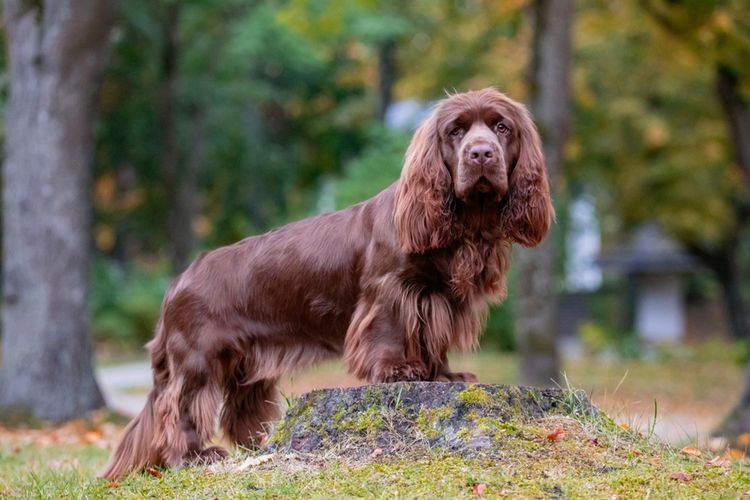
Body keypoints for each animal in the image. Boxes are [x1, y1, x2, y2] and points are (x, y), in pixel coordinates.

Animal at [103, 88, 556, 478]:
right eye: (455, 131)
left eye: (502, 127)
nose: (481, 154)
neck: (466, 226)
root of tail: (178, 281)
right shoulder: (390, 290)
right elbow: (392, 331)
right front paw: (398, 370)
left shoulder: (437, 298)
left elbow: (432, 339)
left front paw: (442, 374)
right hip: (198, 358)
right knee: (179, 407)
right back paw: (194, 456)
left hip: (246, 362)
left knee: (238, 408)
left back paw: (256, 447)